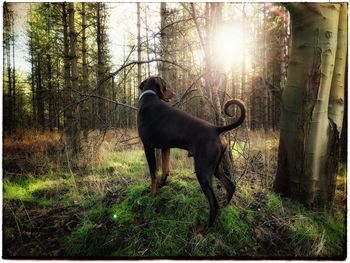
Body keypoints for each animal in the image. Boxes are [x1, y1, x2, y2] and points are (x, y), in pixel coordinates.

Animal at [137, 77, 246, 229]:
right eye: (165, 86)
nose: (172, 94)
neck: (149, 97)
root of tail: (216, 129)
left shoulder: (148, 146)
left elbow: (153, 173)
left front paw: (152, 194)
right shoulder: (165, 147)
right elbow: (165, 169)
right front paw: (162, 184)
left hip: (202, 170)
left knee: (214, 203)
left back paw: (205, 228)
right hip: (214, 167)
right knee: (230, 186)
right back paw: (226, 205)